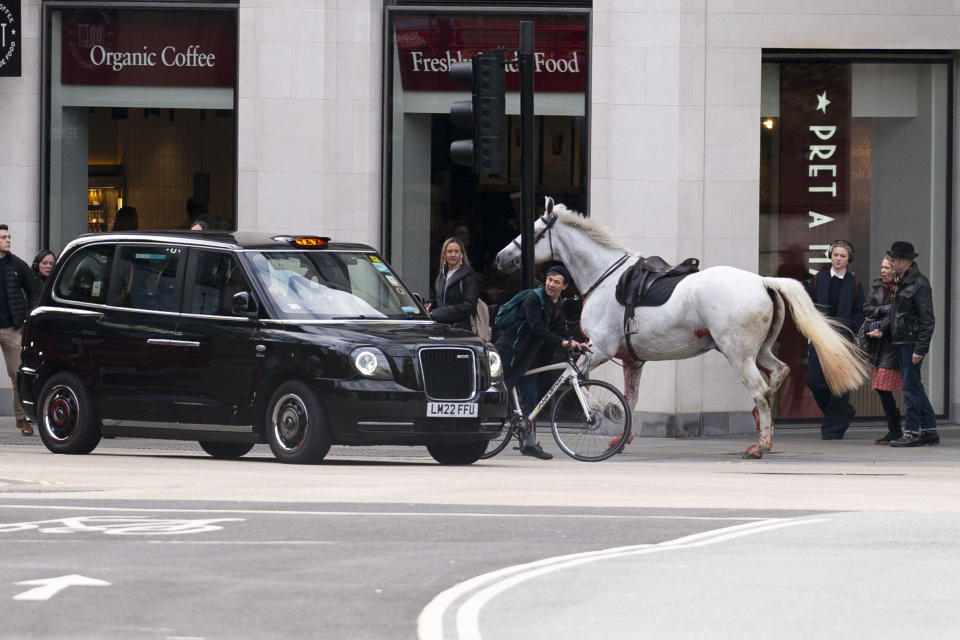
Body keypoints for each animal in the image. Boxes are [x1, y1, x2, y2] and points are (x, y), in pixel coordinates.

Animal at [496, 200, 872, 456]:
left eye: (534, 231)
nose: (501, 258)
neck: (604, 277)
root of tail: (762, 281)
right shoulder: (631, 360)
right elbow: (630, 398)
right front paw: (622, 436)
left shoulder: (597, 350)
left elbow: (577, 386)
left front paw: (602, 413)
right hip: (759, 352)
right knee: (778, 374)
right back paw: (760, 425)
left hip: (738, 355)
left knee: (760, 390)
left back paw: (760, 445)